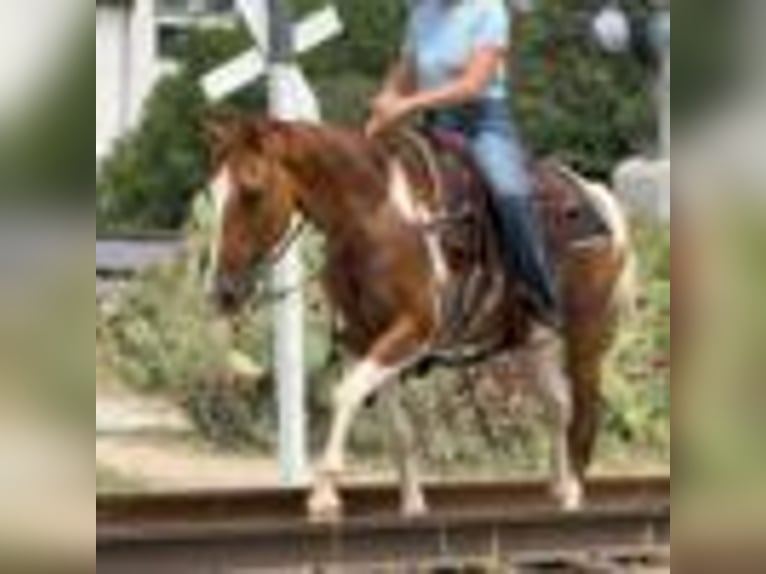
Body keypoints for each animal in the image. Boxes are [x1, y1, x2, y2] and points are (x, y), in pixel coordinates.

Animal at [204, 115, 636, 520]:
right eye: (213, 192)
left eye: (252, 190)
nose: (221, 291)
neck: (377, 219)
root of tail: (598, 198)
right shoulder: (361, 338)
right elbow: (396, 428)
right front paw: (412, 504)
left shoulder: (413, 330)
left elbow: (346, 394)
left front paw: (325, 493)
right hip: (533, 341)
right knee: (558, 406)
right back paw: (558, 488)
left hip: (586, 336)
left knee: (584, 412)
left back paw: (574, 496)